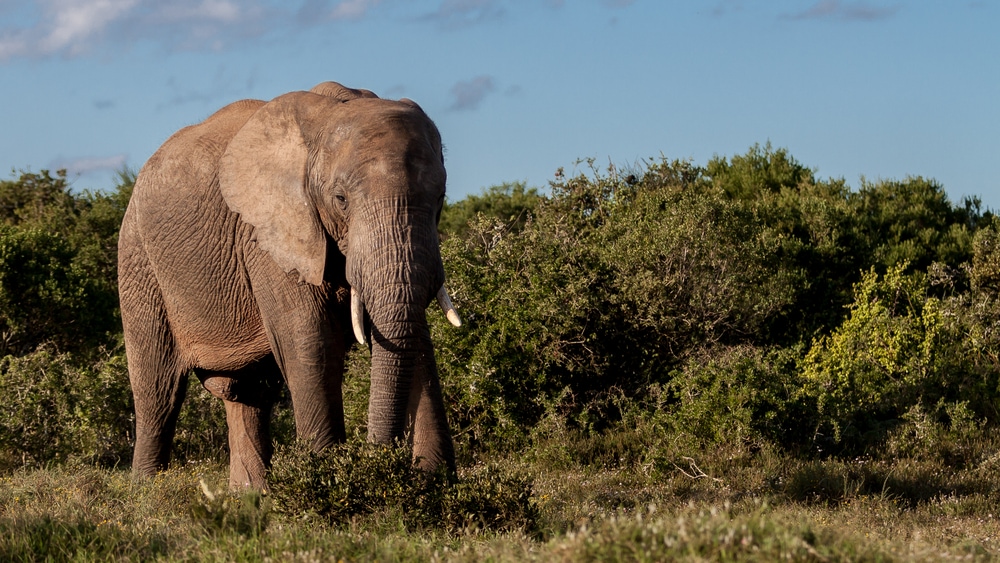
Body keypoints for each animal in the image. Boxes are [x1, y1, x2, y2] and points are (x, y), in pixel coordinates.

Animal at [118, 81, 461, 489]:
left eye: (440, 197)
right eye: (341, 200)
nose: (379, 458)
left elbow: (417, 336)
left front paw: (436, 483)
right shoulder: (266, 235)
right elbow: (311, 341)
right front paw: (328, 483)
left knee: (249, 393)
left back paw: (251, 496)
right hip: (138, 259)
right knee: (157, 392)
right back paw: (146, 492)